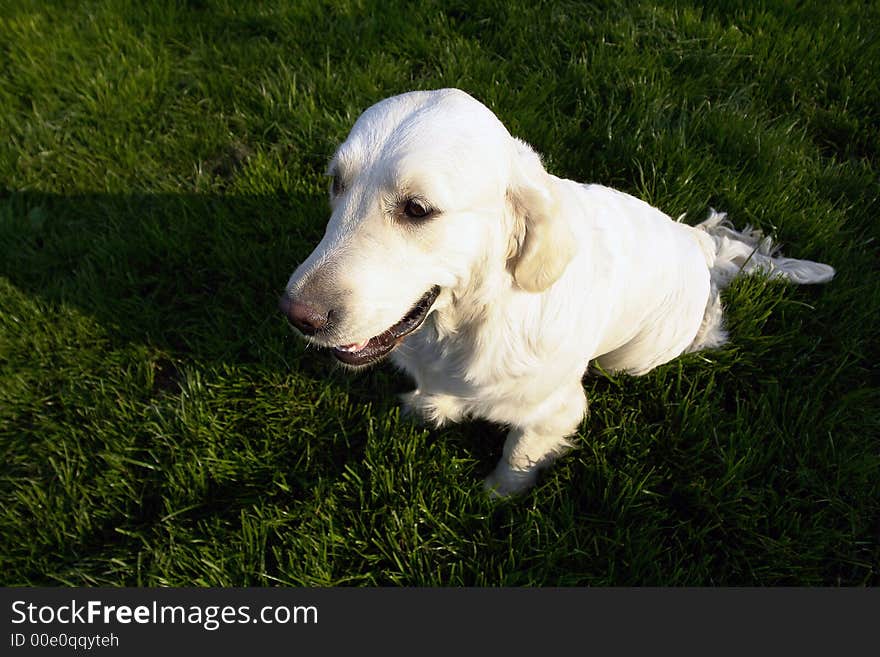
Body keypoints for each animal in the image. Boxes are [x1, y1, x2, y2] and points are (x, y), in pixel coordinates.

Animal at [278, 89, 836, 494]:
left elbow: (518, 455)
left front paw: (497, 498)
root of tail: (696, 243)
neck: (471, 321)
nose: (296, 315)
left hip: (635, 357)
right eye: (336, 182)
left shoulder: (557, 410)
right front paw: (428, 407)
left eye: (417, 209)